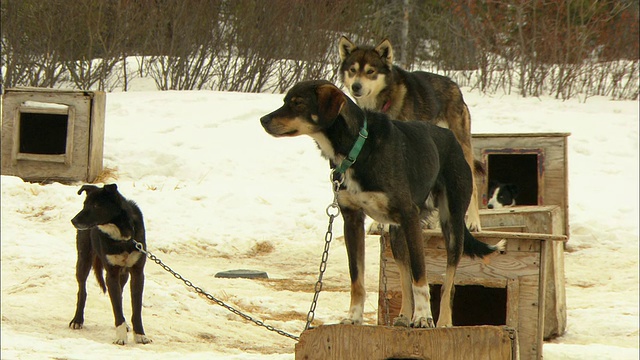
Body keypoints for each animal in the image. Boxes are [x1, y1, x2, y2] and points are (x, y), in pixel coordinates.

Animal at [69, 184, 152, 344]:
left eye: (96, 205)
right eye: (84, 204)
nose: (73, 220)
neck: (122, 236)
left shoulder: (137, 273)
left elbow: (136, 308)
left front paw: (140, 335)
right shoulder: (111, 275)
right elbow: (116, 308)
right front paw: (121, 337)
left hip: (124, 275)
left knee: (120, 293)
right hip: (83, 261)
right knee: (82, 291)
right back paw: (77, 320)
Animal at [260, 80, 504, 328]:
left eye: (298, 103)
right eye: (285, 101)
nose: (263, 120)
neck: (357, 148)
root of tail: (451, 138)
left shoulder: (409, 215)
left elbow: (420, 276)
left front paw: (423, 316)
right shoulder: (352, 220)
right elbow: (357, 278)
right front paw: (354, 317)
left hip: (451, 224)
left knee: (449, 282)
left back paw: (443, 321)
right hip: (397, 234)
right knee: (405, 279)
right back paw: (404, 316)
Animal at [338, 35, 482, 231]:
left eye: (370, 71)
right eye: (353, 70)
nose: (356, 86)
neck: (384, 102)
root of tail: (454, 86)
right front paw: (379, 223)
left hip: (461, 148)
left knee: (473, 186)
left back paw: (474, 221)